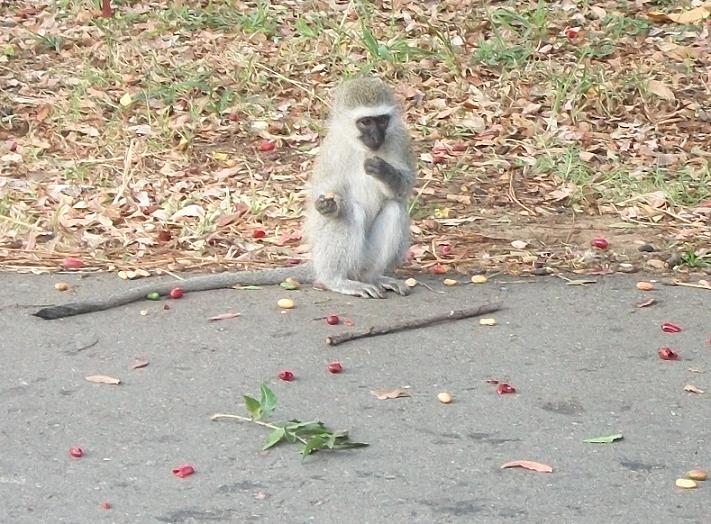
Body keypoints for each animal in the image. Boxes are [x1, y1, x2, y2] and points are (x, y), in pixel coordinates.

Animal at [34, 77, 415, 320]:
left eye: (382, 121)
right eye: (365, 122)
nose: (376, 137)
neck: (360, 147)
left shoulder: (399, 139)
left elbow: (403, 188)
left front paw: (382, 170)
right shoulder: (331, 152)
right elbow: (323, 205)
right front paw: (327, 204)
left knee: (394, 208)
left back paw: (374, 278)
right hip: (329, 258)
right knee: (347, 214)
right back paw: (340, 281)